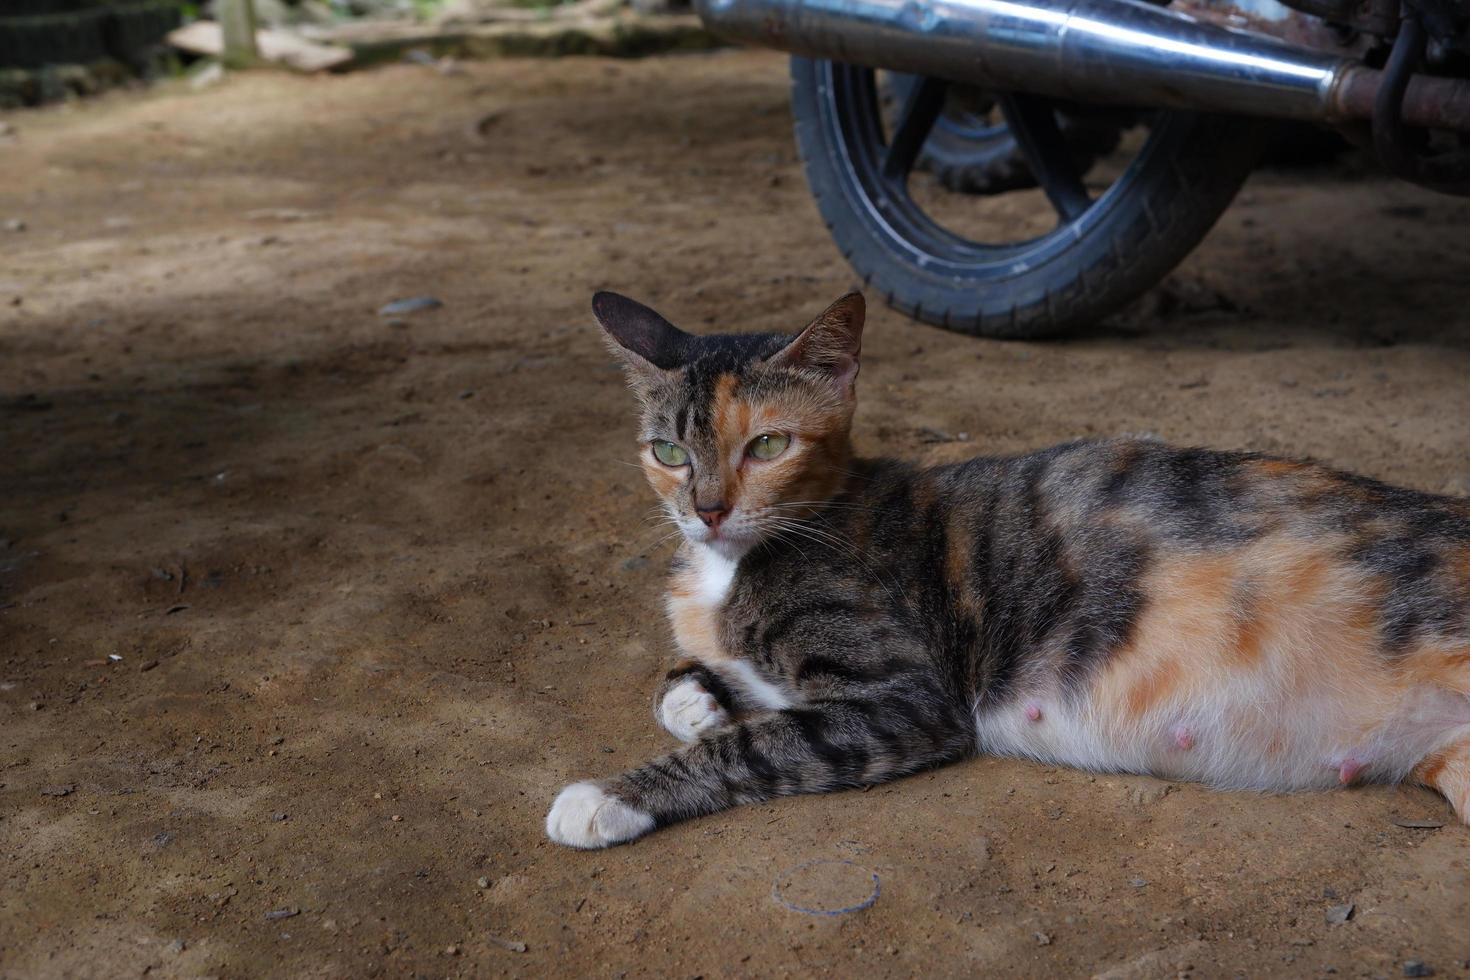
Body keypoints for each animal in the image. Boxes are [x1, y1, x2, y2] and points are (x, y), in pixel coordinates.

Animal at [546, 289, 1470, 852]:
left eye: (768, 444)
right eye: (668, 451)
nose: (705, 509)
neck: (731, 566)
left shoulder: (907, 699)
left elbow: (759, 743)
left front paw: (606, 797)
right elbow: (682, 684)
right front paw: (700, 699)